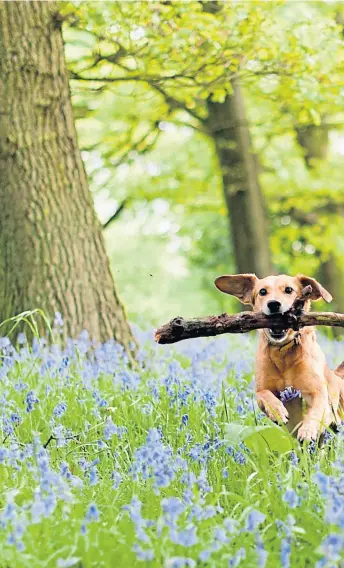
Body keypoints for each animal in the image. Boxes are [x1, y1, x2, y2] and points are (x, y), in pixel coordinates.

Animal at [214, 272, 342, 442]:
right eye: (262, 292)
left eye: (289, 290)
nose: (273, 304)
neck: (283, 353)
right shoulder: (261, 389)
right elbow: (264, 394)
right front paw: (277, 410)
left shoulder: (317, 391)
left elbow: (316, 410)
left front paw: (307, 430)